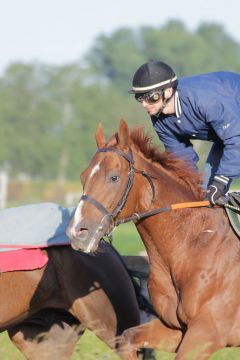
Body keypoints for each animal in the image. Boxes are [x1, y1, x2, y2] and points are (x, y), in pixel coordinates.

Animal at [66, 119, 240, 358]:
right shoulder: (174, 328)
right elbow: (127, 338)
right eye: (83, 176)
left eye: (114, 177)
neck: (195, 243)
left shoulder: (207, 333)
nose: (77, 232)